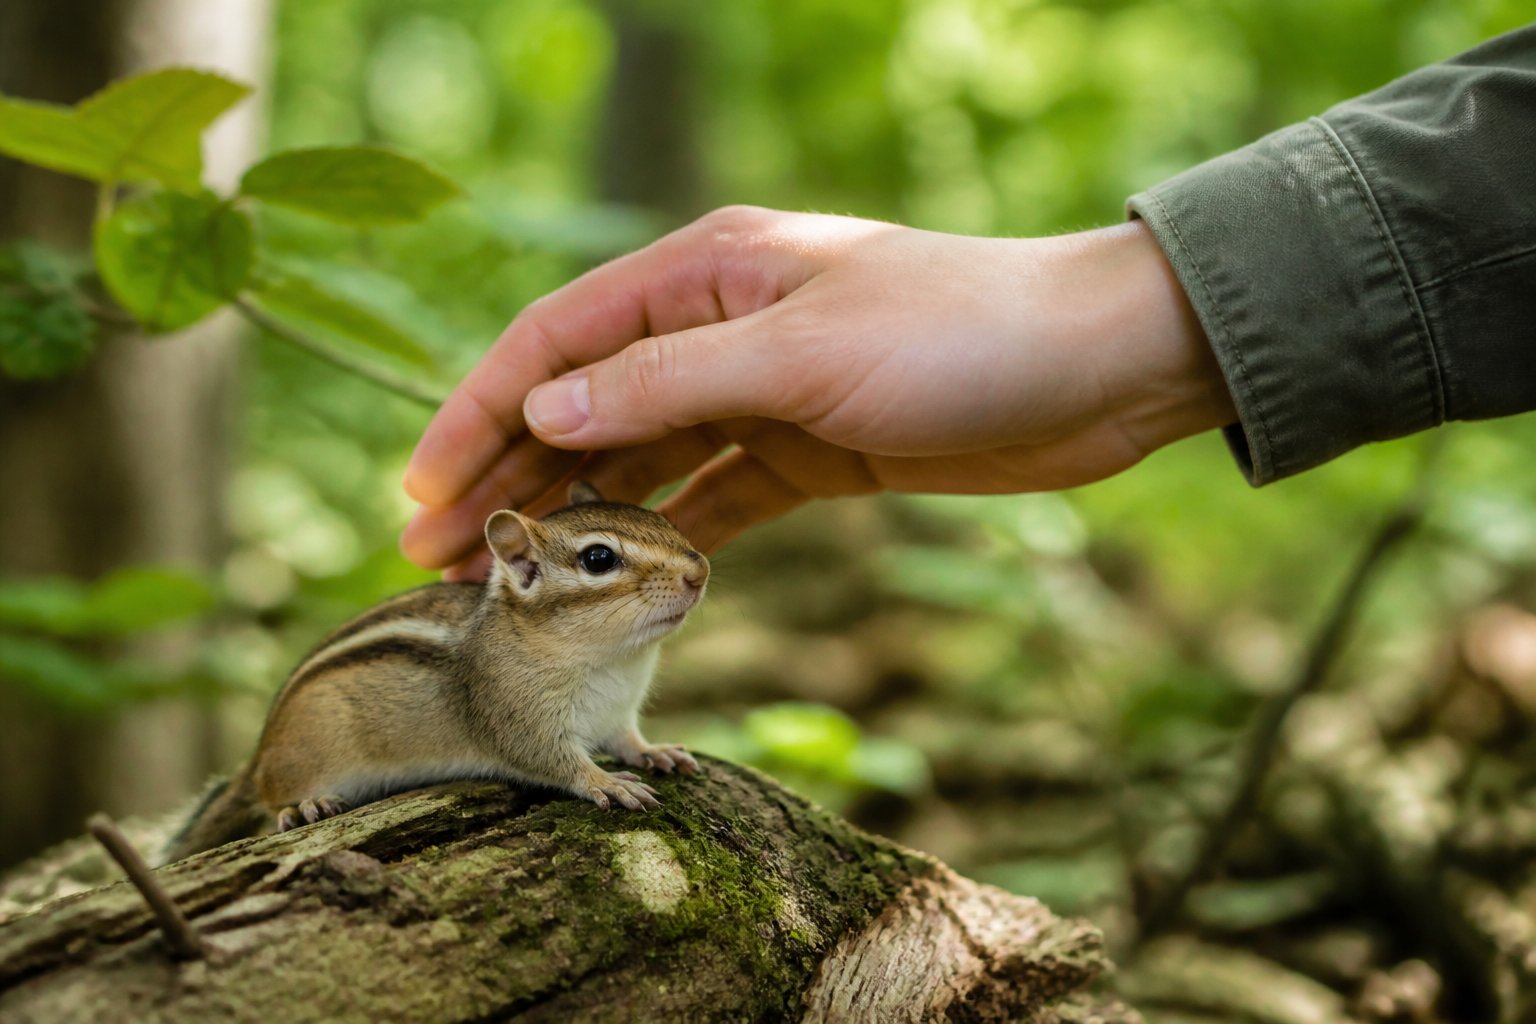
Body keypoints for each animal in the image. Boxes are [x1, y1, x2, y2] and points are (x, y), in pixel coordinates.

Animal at [160, 482, 708, 864]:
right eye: (598, 558)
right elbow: (551, 761)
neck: (613, 662)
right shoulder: (513, 714)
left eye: (659, 518)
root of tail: (257, 755)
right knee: (272, 795)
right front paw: (606, 782)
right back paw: (302, 806)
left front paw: (654, 752)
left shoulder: (618, 714)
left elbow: (626, 739)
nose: (699, 572)